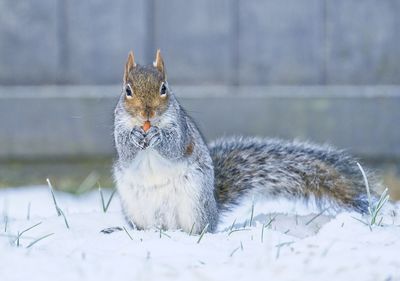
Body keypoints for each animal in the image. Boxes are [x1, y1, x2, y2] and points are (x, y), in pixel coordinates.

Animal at [113, 49, 378, 232]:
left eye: (164, 88)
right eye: (127, 90)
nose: (147, 113)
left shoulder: (182, 130)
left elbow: (174, 146)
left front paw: (158, 136)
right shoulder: (118, 128)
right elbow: (125, 151)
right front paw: (134, 136)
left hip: (194, 203)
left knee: (197, 231)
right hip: (135, 207)